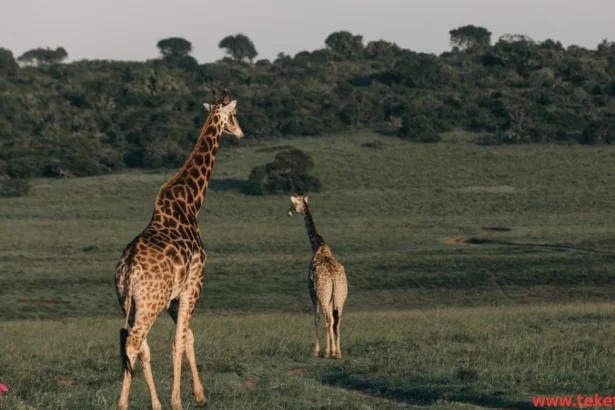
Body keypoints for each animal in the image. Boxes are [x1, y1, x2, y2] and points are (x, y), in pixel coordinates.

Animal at [114, 88, 244, 408]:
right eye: (234, 114)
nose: (240, 132)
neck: (192, 203)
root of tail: (128, 268)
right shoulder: (194, 283)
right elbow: (179, 339)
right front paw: (178, 400)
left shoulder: (174, 295)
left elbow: (188, 337)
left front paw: (198, 394)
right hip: (150, 303)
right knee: (134, 341)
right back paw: (124, 404)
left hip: (130, 302)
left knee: (137, 343)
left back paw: (152, 403)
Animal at [288, 193, 348, 358]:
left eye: (293, 205)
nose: (288, 212)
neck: (318, 245)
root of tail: (334, 277)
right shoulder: (328, 297)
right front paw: (331, 349)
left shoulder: (313, 293)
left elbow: (316, 319)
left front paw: (317, 351)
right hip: (340, 296)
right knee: (337, 320)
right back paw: (338, 352)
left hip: (323, 295)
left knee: (328, 319)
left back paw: (329, 352)